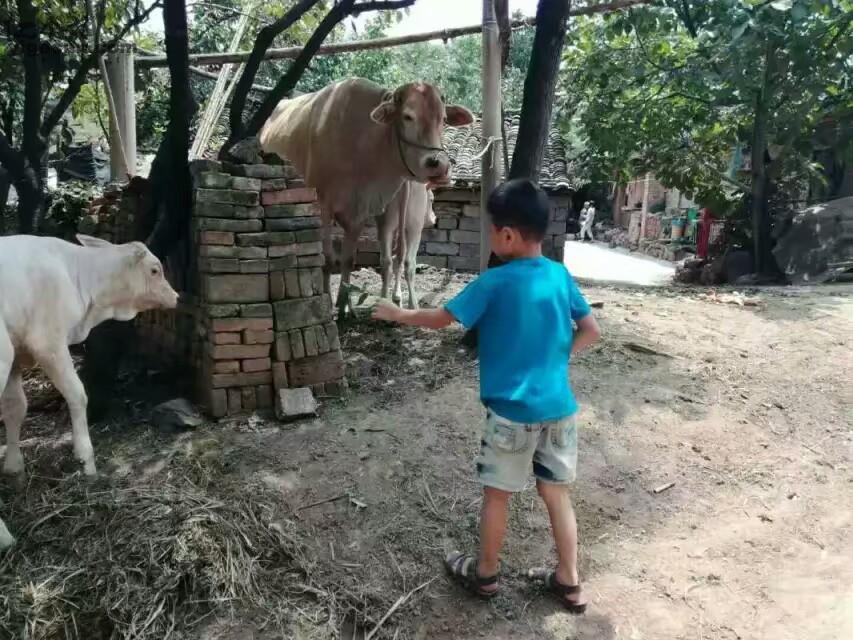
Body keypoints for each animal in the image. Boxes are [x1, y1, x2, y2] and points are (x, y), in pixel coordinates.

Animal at [0, 234, 179, 550]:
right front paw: (86, 460)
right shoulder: (48, 342)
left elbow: (16, 407)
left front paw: (14, 469)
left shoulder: (18, 353)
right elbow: (77, 393)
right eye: (155, 270)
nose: (177, 296)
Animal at [259, 77, 473, 313]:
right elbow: (327, 259)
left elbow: (349, 259)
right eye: (408, 116)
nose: (439, 165)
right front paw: (328, 302)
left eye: (443, 119)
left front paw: (346, 305)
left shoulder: (360, 210)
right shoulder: (324, 207)